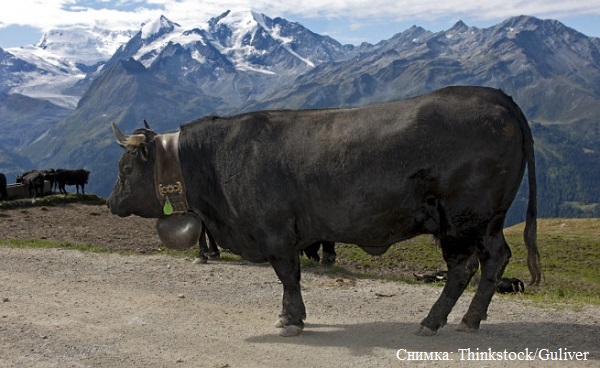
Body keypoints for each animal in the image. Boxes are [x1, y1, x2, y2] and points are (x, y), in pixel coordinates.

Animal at [105, 86, 540, 336]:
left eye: (125, 170)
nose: (110, 203)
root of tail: (493, 96)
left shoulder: (276, 232)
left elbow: (288, 277)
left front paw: (291, 320)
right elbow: (291, 277)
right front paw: (290, 316)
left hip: (463, 219)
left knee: (463, 269)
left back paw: (434, 321)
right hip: (487, 222)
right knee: (495, 259)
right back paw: (469, 319)